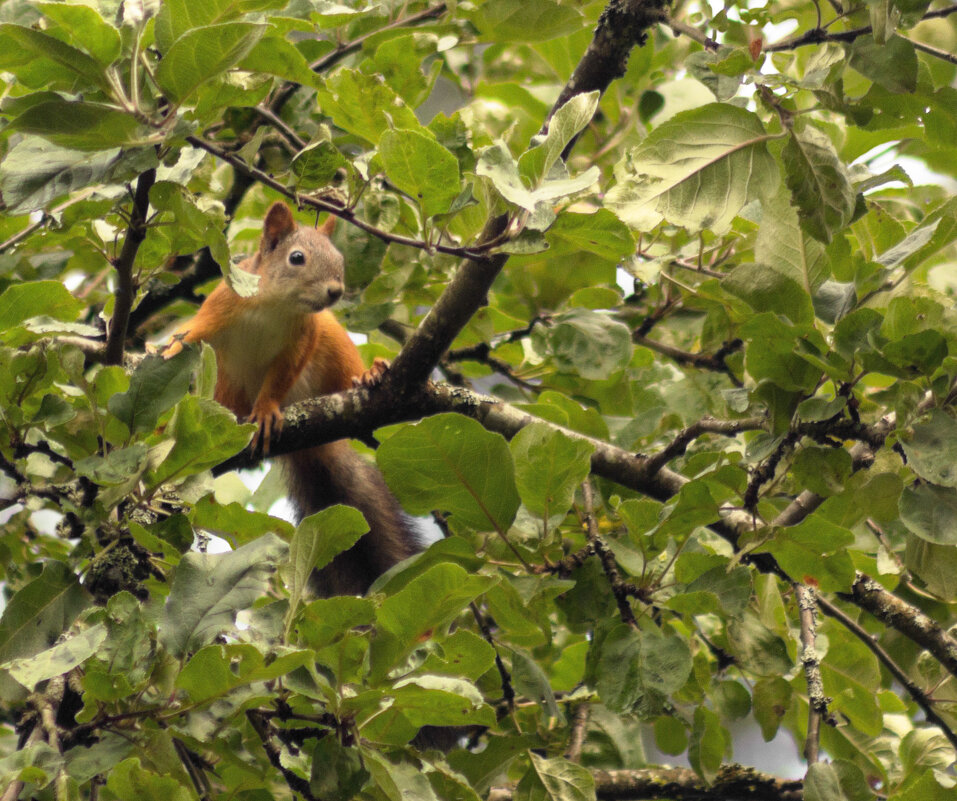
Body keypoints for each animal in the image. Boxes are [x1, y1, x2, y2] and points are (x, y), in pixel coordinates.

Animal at [164, 200, 418, 592]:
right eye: (296, 258)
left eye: (339, 259)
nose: (335, 291)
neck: (273, 306)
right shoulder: (217, 310)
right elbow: (186, 336)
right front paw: (160, 356)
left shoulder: (303, 338)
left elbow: (280, 378)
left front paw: (267, 411)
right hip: (228, 382)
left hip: (332, 343)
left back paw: (368, 375)